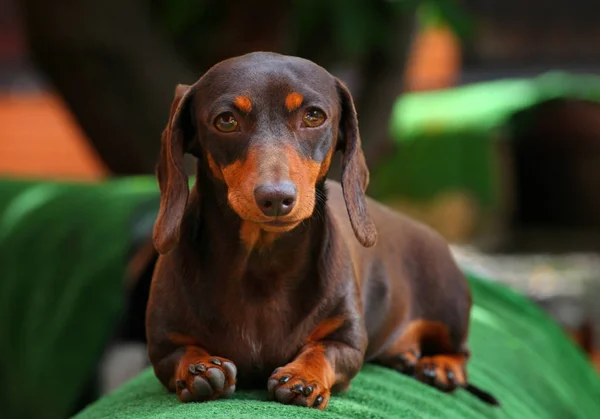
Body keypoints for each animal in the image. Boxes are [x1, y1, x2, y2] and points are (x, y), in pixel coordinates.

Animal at [148, 50, 500, 410]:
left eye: (314, 115)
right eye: (226, 120)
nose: (276, 198)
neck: (260, 263)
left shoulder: (348, 340)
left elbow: (323, 350)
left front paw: (303, 377)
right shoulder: (163, 346)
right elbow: (180, 353)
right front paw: (200, 369)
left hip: (450, 308)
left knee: (461, 352)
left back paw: (441, 367)